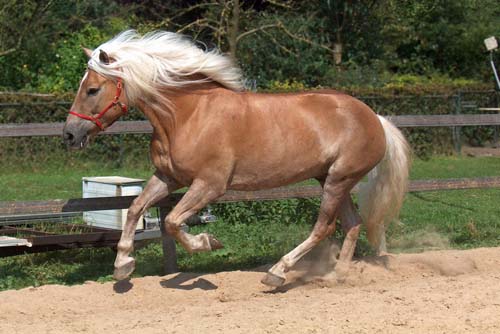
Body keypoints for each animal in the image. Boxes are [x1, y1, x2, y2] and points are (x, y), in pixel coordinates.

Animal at [63, 30, 410, 288]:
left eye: (92, 90)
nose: (69, 135)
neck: (186, 115)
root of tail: (375, 118)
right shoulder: (168, 177)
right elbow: (136, 208)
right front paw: (123, 265)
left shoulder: (210, 184)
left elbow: (173, 221)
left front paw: (208, 242)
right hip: (331, 178)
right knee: (352, 223)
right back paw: (336, 275)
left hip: (339, 179)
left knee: (325, 227)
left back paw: (277, 273)